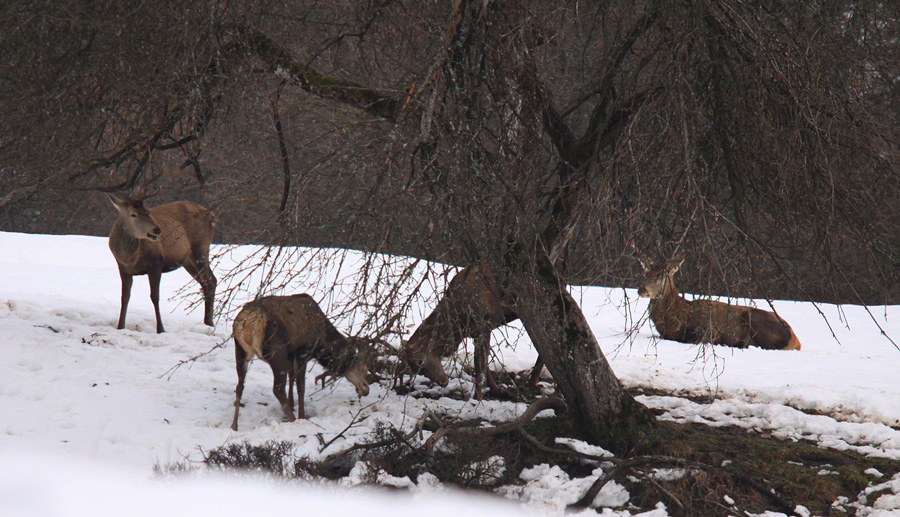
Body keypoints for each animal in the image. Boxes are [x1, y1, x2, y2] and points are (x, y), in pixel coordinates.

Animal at [106, 187, 215, 332]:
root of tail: (211, 214)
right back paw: (207, 323)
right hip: (187, 260)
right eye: (133, 214)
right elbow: (125, 297)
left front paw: (161, 329)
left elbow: (155, 296)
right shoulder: (123, 268)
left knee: (211, 280)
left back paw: (209, 323)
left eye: (147, 212)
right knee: (206, 282)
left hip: (201, 248)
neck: (130, 257)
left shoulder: (156, 262)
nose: (157, 230)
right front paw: (120, 327)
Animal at [234, 292, 374, 430]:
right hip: (276, 351)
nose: (366, 390)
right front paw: (302, 416)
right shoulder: (303, 351)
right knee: (277, 389)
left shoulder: (291, 353)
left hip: (240, 350)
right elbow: (301, 386)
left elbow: (292, 378)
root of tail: (251, 319)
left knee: (240, 386)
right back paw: (293, 419)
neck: (321, 342)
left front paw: (292, 405)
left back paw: (234, 425)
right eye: (362, 368)